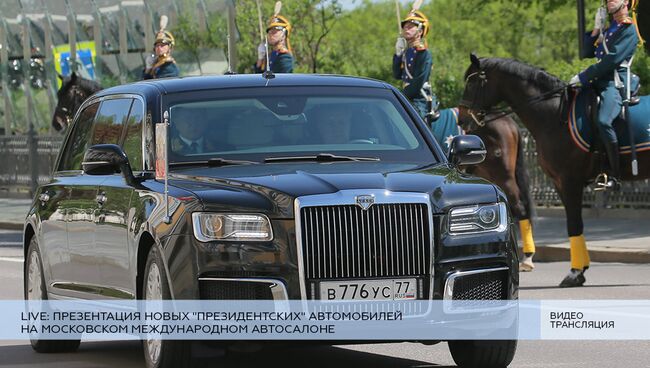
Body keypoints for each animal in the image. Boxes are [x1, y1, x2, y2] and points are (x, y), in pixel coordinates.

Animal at [456, 54, 648, 288]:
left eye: (472, 82)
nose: (462, 120)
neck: (555, 115)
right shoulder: (559, 183)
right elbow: (573, 224)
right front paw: (580, 270)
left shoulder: (570, 181)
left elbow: (574, 224)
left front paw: (575, 272)